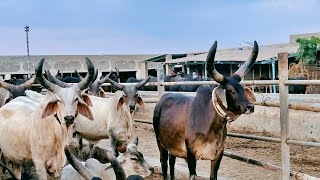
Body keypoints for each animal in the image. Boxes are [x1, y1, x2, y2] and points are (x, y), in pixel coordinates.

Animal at [152, 40, 258, 180]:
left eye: (241, 88)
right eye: (230, 90)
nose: (250, 106)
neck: (213, 126)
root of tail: (162, 99)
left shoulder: (218, 155)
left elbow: (213, 176)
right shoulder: (191, 155)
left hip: (172, 145)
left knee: (172, 161)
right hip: (160, 143)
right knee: (164, 164)